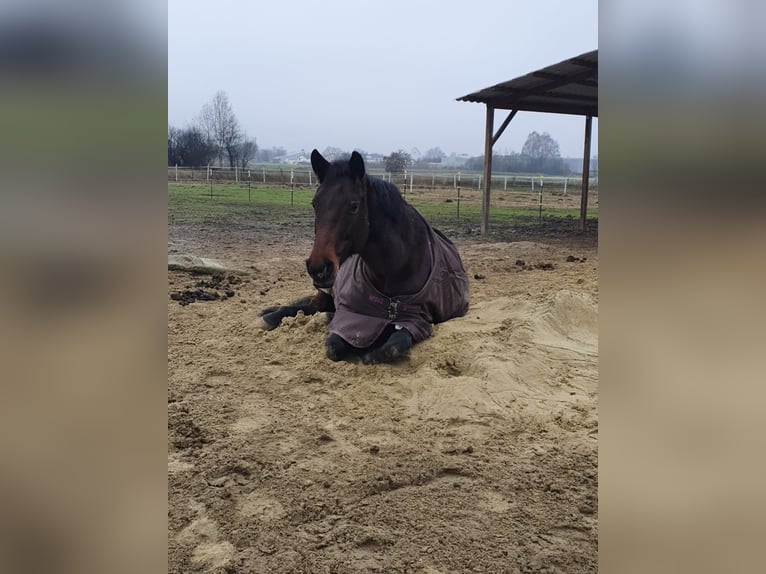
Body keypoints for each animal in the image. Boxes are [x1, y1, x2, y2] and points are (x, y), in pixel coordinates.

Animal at [258, 149, 470, 364]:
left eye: (353, 206)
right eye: (314, 204)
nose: (318, 268)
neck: (398, 269)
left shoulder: (417, 320)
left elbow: (394, 345)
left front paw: (371, 355)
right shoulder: (351, 317)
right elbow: (334, 346)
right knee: (307, 306)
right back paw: (270, 317)